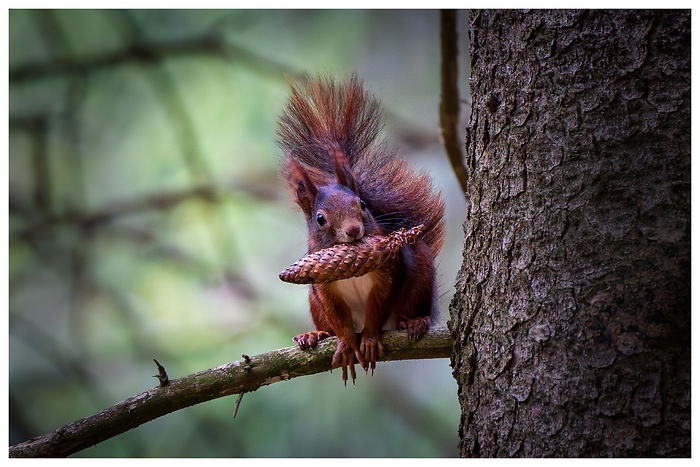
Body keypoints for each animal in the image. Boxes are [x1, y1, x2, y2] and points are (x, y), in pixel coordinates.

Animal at [276, 76, 446, 384]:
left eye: (363, 204)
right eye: (320, 218)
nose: (354, 230)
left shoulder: (388, 274)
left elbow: (378, 307)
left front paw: (368, 339)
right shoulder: (324, 288)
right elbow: (338, 319)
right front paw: (346, 343)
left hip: (421, 279)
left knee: (407, 313)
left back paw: (416, 321)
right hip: (313, 300)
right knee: (327, 325)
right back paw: (314, 335)